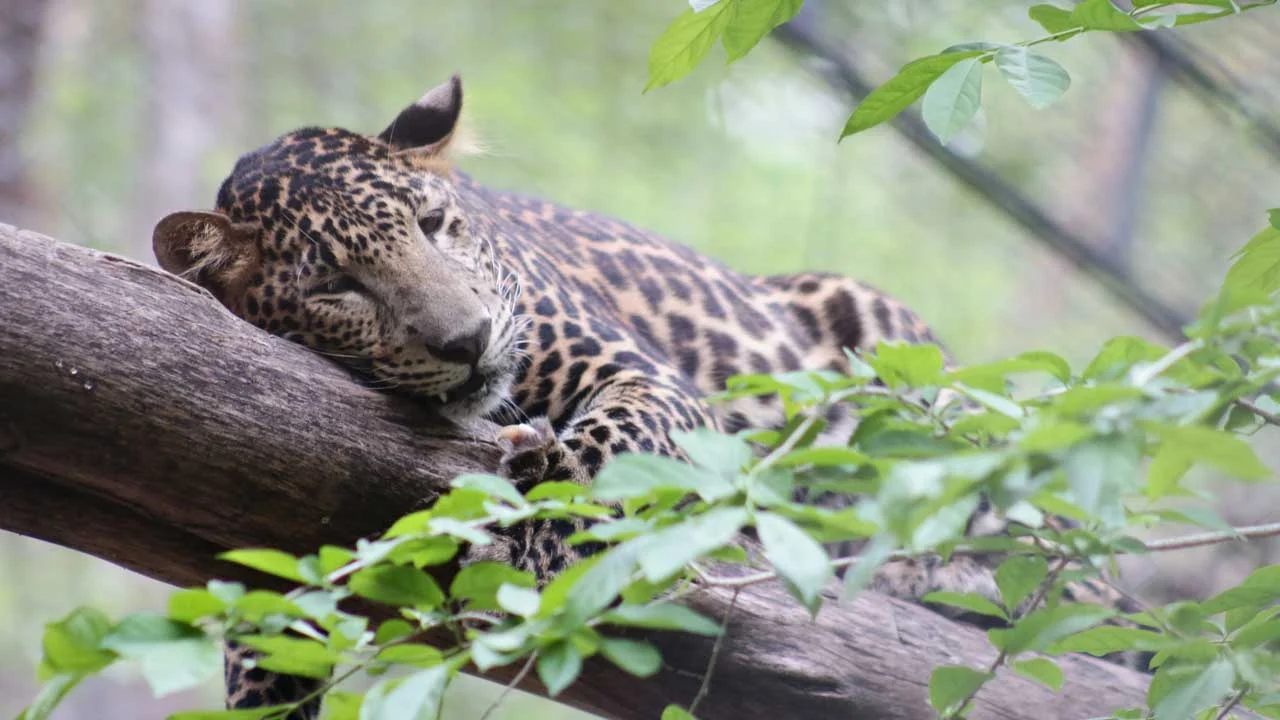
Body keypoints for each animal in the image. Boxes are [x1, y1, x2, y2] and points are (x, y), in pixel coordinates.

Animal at [153, 75, 1137, 719]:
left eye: (434, 225)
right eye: (336, 288)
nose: (467, 340)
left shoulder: (646, 377)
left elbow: (609, 446)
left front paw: (533, 543)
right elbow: (262, 641)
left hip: (893, 343)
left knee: (1072, 561)